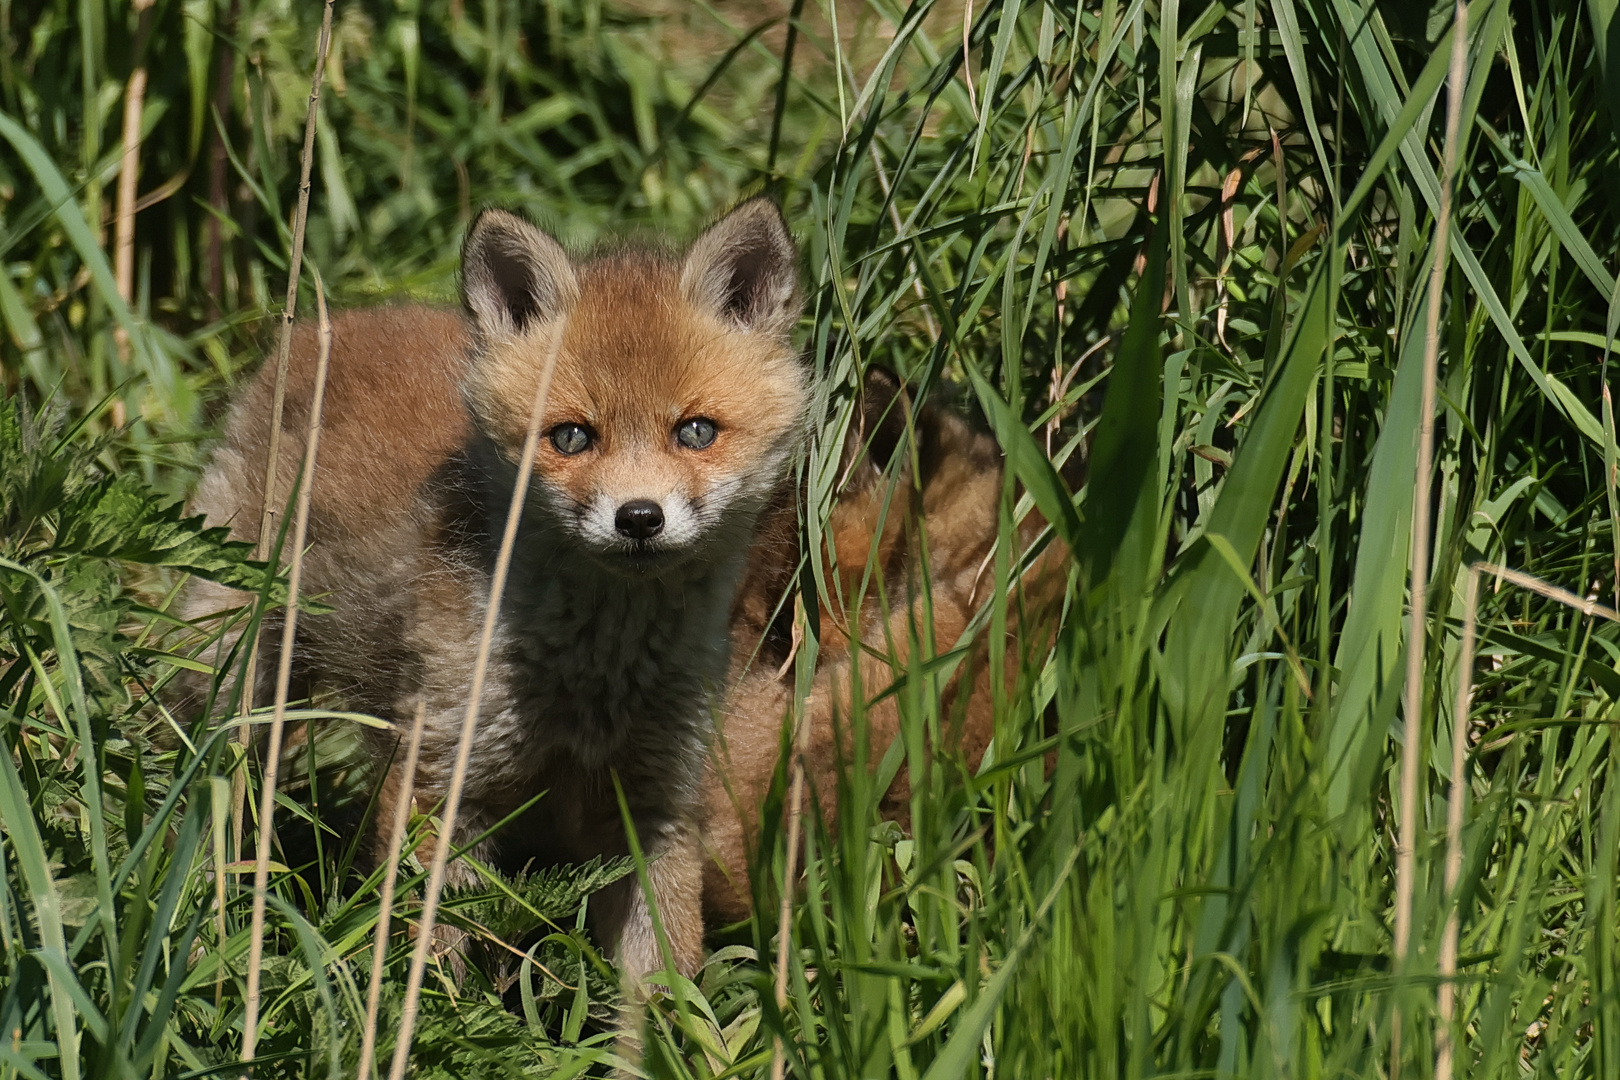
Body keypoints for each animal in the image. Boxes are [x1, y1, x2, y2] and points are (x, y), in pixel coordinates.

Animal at [186, 198, 810, 984]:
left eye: (696, 431)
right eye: (571, 437)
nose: (639, 518)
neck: (594, 674)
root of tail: (334, 323)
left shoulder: (657, 801)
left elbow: (660, 983)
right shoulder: (439, 778)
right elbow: (433, 968)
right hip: (233, 677)